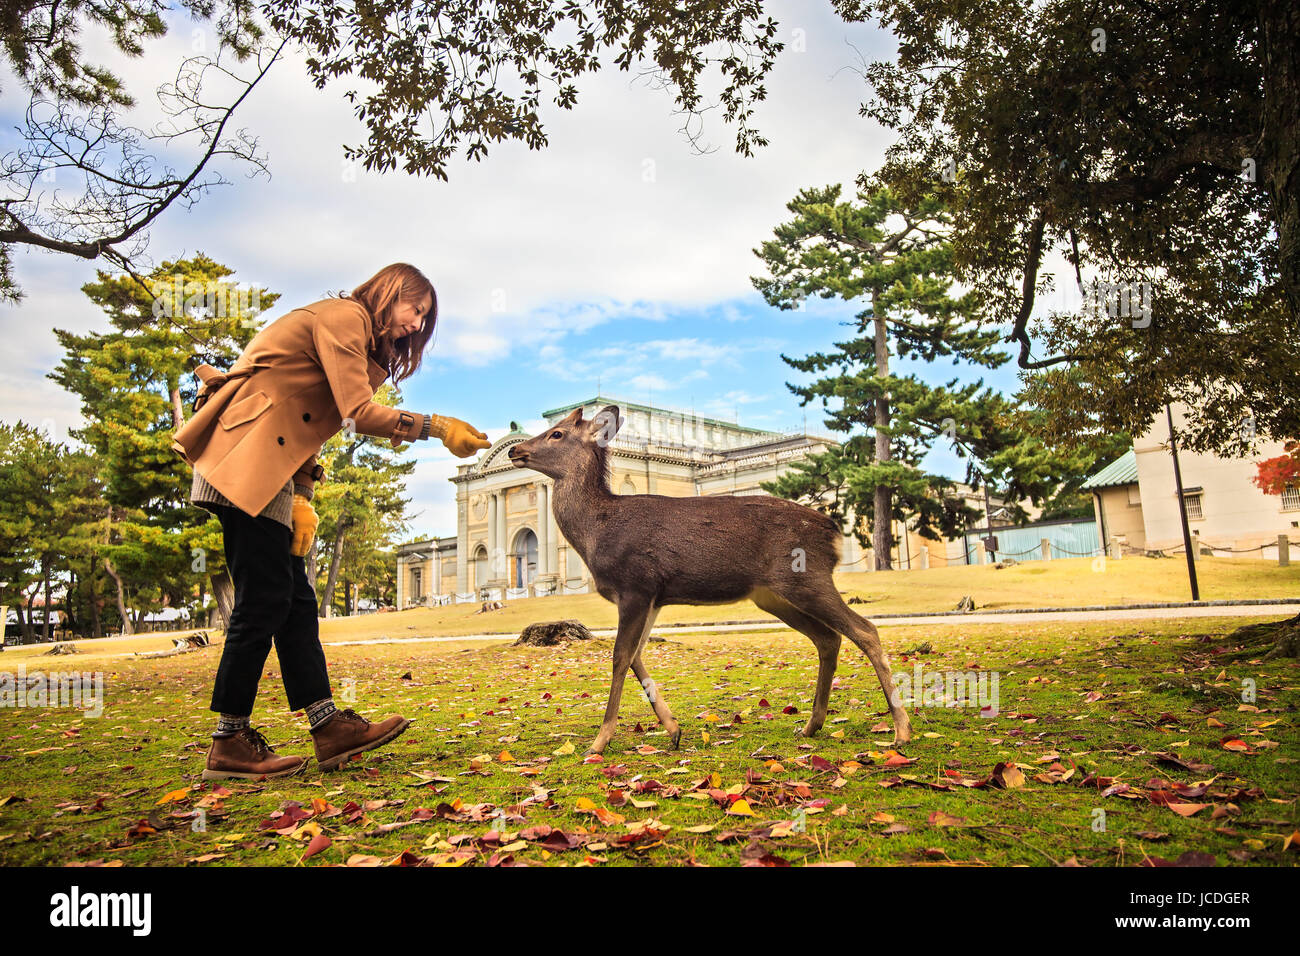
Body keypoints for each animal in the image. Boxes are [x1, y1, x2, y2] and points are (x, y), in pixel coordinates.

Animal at [501, 403, 909, 754]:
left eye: (556, 433)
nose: (515, 450)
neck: (597, 532)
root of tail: (833, 530)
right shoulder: (654, 596)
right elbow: (636, 656)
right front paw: (673, 729)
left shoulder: (635, 585)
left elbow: (619, 657)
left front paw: (599, 742)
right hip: (774, 595)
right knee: (828, 638)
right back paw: (811, 725)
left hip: (808, 577)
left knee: (865, 630)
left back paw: (901, 729)